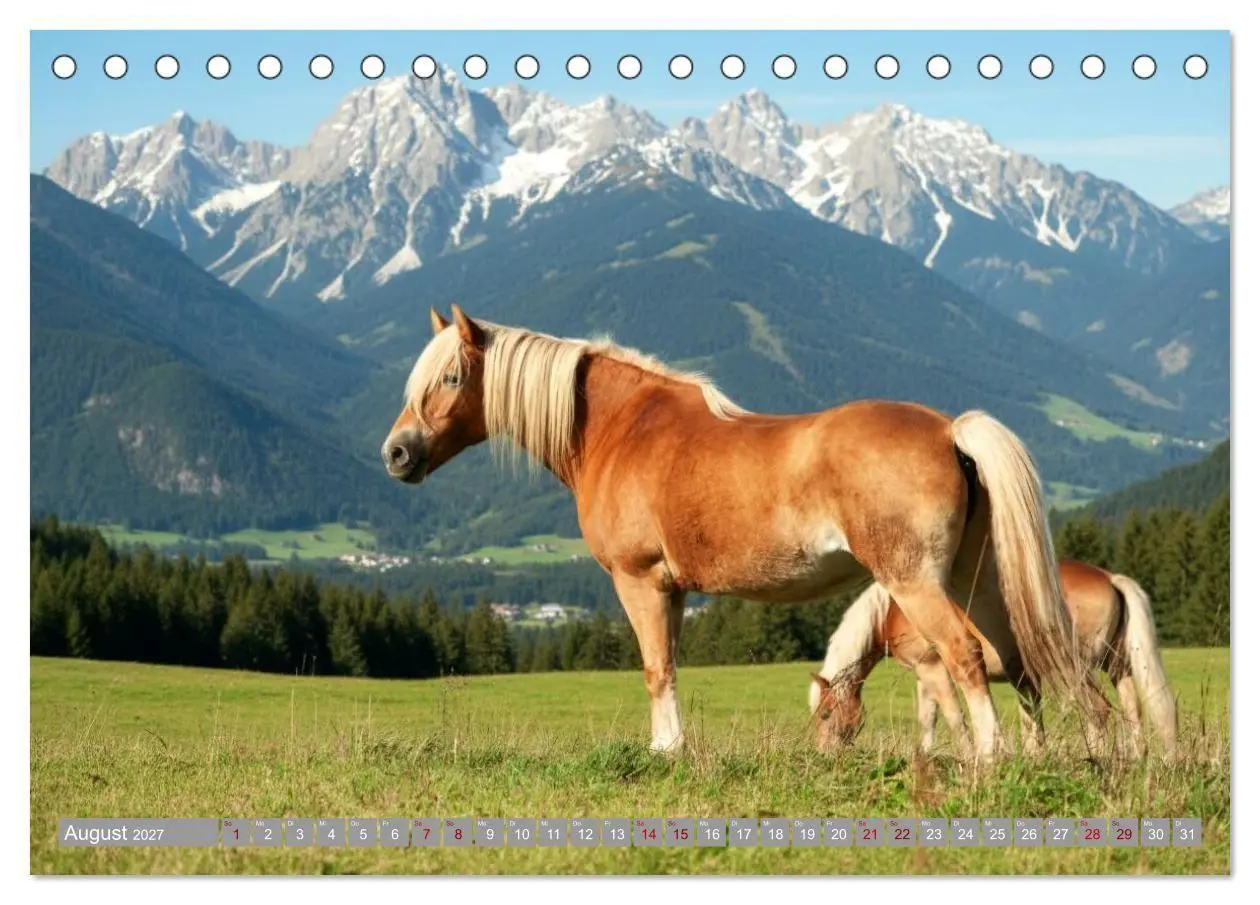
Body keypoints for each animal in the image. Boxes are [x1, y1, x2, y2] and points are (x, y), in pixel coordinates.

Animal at [382, 305, 1105, 761]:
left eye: (451, 377)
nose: (396, 453)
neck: (622, 426)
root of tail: (949, 430)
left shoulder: (639, 581)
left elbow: (655, 667)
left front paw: (665, 750)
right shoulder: (672, 590)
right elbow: (670, 664)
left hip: (918, 583)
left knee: (965, 655)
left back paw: (988, 758)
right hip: (971, 579)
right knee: (1018, 661)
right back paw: (1040, 756)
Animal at [808, 559, 1177, 760]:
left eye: (826, 713)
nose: (825, 754)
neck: (891, 610)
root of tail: (1109, 577)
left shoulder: (934, 668)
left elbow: (954, 716)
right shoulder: (923, 675)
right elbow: (927, 719)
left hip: (1076, 669)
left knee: (1098, 710)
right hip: (1117, 667)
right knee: (1132, 711)